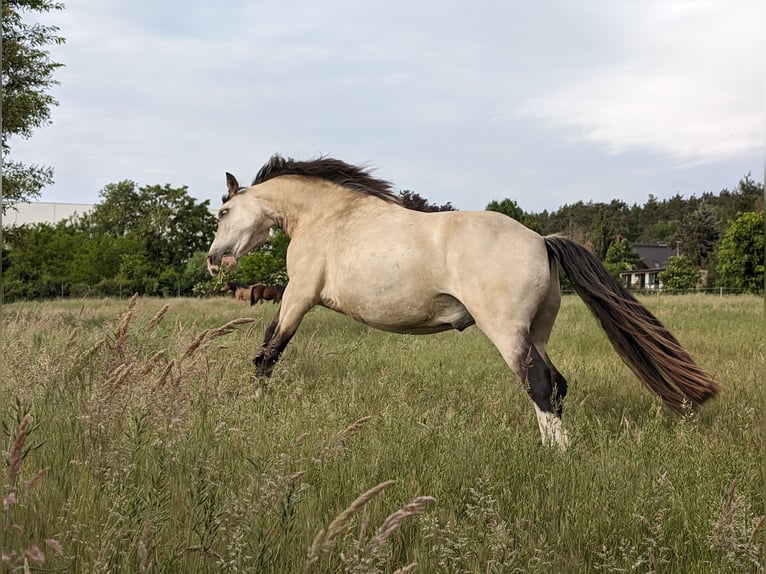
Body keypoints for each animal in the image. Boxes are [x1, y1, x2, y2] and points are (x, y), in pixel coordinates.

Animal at [207, 154, 720, 448]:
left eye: (223, 211)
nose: (213, 261)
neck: (329, 217)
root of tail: (541, 240)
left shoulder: (298, 296)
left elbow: (268, 352)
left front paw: (254, 403)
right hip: (537, 332)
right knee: (556, 385)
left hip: (507, 333)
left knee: (539, 384)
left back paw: (555, 456)